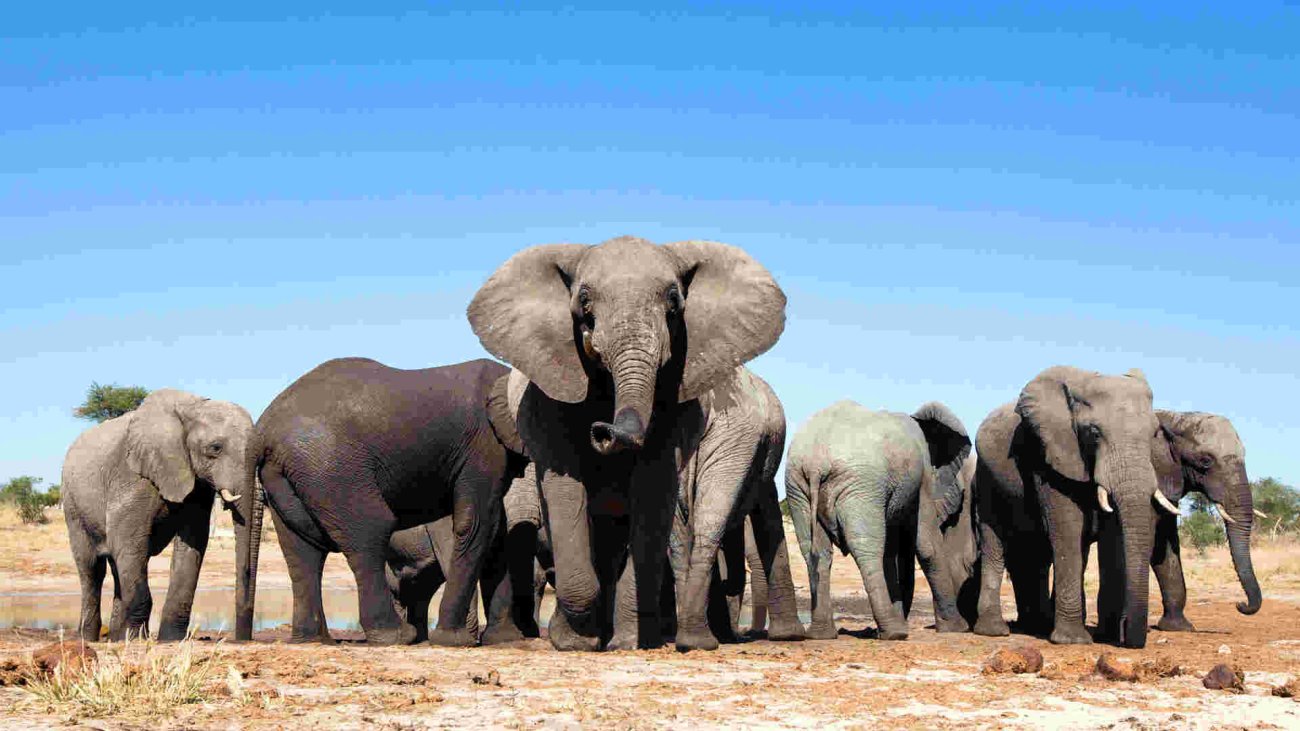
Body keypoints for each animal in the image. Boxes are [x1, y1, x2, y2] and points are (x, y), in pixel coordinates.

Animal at [61, 389, 255, 641]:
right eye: (215, 448)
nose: (243, 638)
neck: (191, 408)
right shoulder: (132, 476)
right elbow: (129, 542)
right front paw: (135, 638)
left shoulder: (195, 482)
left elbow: (192, 542)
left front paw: (170, 639)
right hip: (72, 504)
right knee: (92, 568)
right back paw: (89, 638)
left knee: (118, 565)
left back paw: (116, 637)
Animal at [236, 357, 527, 646]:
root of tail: (261, 431)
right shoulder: (484, 445)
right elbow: (478, 524)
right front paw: (455, 640)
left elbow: (496, 531)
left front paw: (505, 639)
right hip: (330, 465)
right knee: (370, 530)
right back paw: (397, 635)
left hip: (287, 472)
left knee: (302, 548)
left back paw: (314, 639)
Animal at [468, 236, 788, 651]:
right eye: (584, 301)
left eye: (674, 302)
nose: (602, 430)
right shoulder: (547, 391)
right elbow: (565, 488)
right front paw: (575, 642)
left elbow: (652, 487)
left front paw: (626, 643)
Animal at [784, 400, 972, 641]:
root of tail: (816, 463)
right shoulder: (922, 479)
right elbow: (927, 546)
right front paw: (958, 628)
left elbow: (891, 551)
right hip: (859, 485)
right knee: (867, 548)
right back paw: (894, 633)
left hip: (798, 486)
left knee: (815, 551)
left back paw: (822, 634)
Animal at [972, 366, 1177, 649]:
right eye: (1094, 432)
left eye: (1154, 434)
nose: (1128, 633)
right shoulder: (1049, 456)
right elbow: (1068, 528)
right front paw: (1073, 640)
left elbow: (1112, 536)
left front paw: (1108, 636)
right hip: (986, 477)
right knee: (995, 541)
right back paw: (995, 631)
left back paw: (1038, 625)